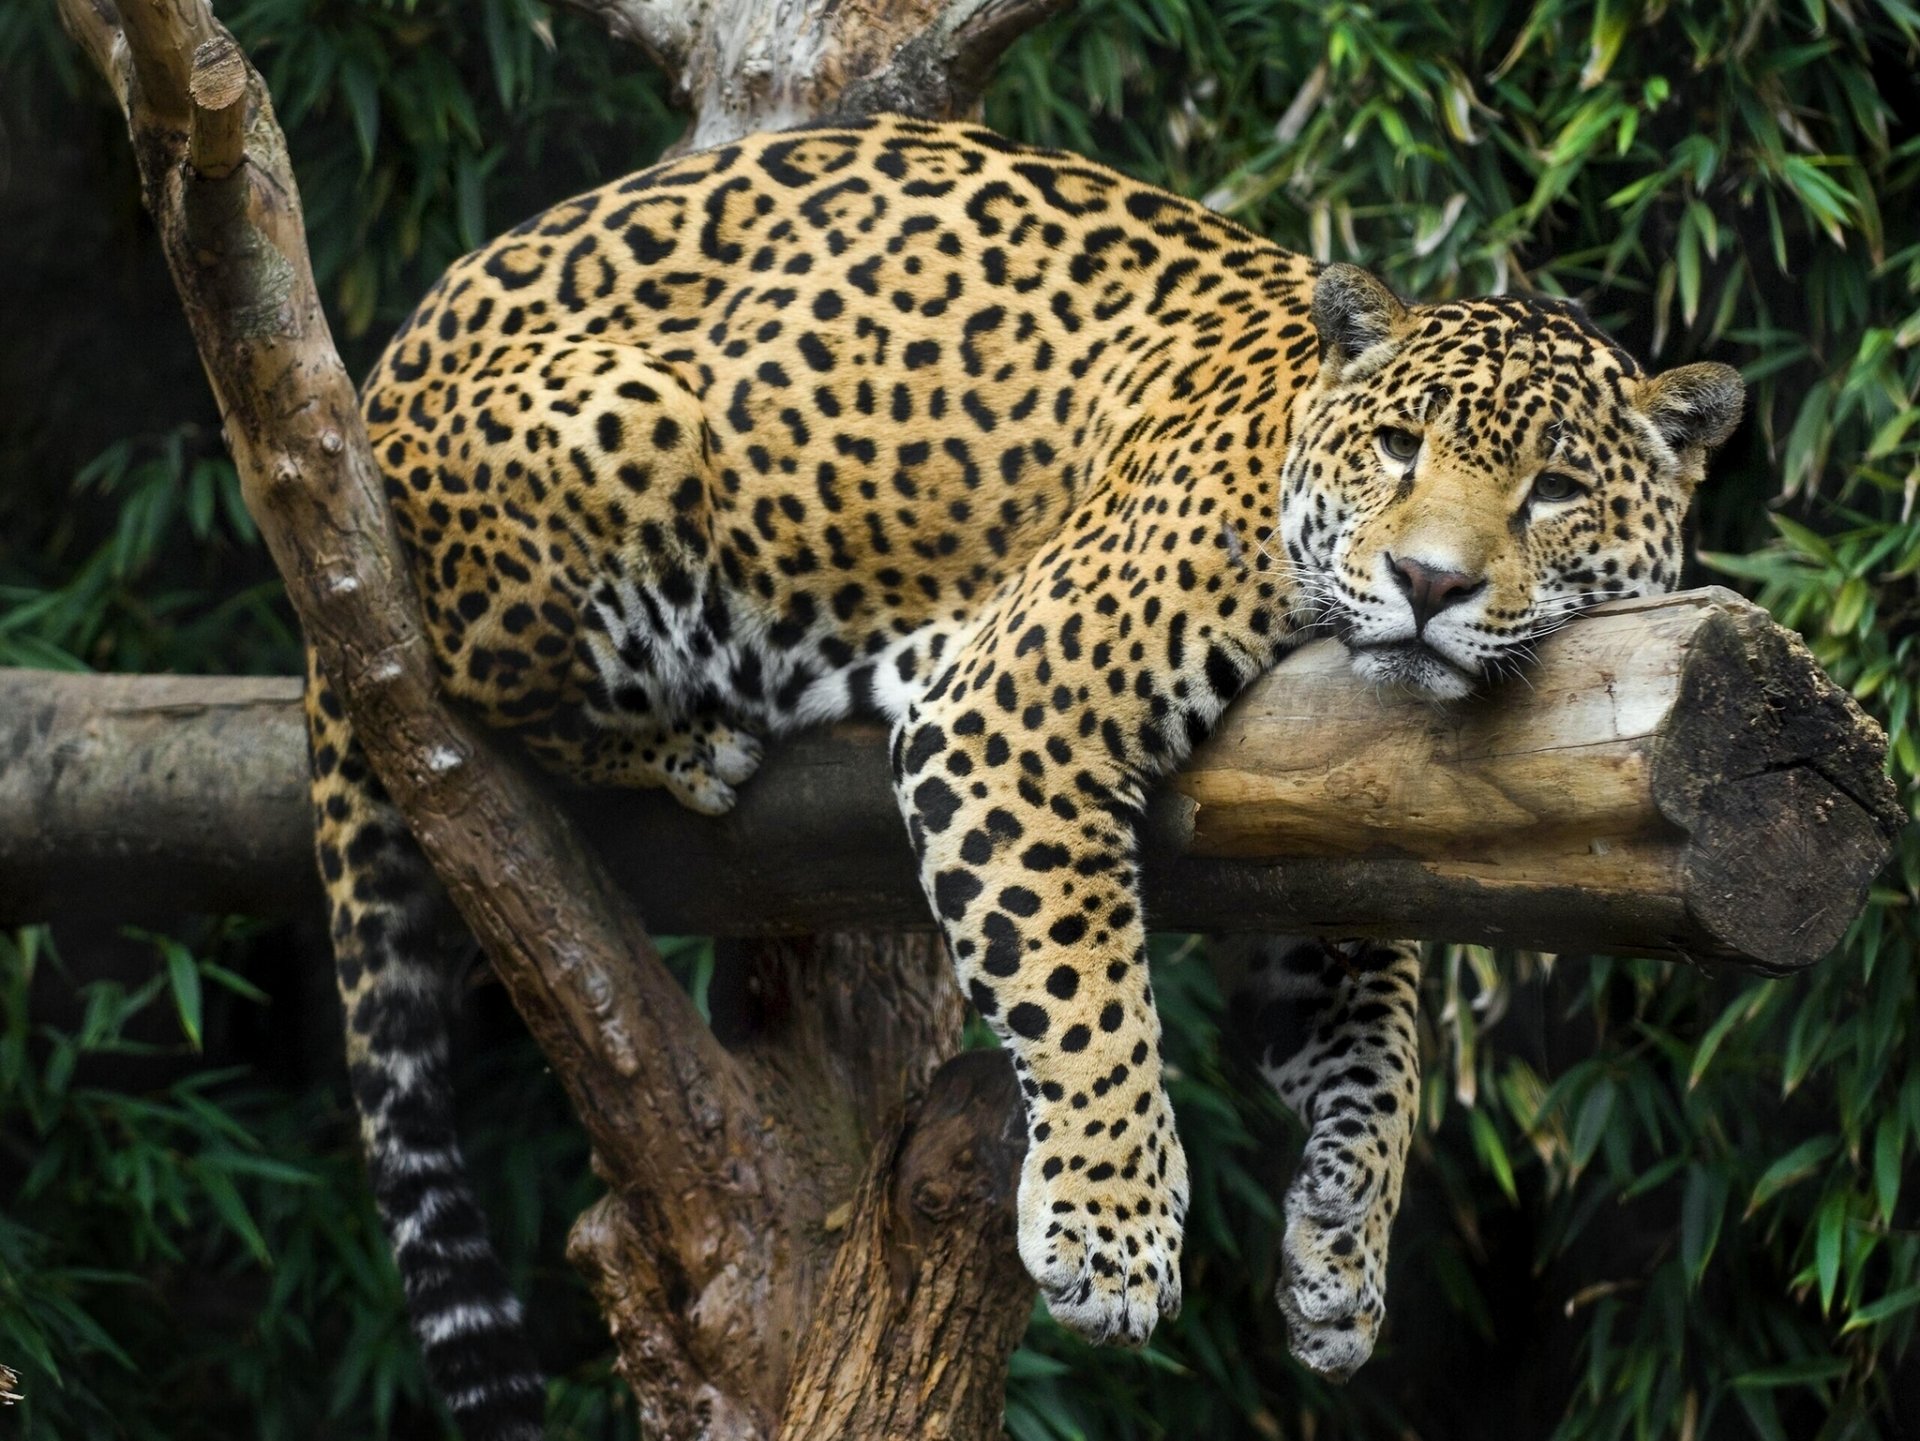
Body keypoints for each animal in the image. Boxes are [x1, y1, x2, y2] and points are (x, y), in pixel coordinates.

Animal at [303, 112, 1743, 1439]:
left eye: (1553, 489)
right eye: (1398, 446)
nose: (1428, 583)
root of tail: (368, 392)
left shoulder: (1311, 833)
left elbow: (1379, 1053)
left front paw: (1341, 1260)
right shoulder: (1012, 708)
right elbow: (1083, 983)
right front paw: (1112, 1233)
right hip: (620, 429)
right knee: (462, 681)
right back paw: (693, 738)